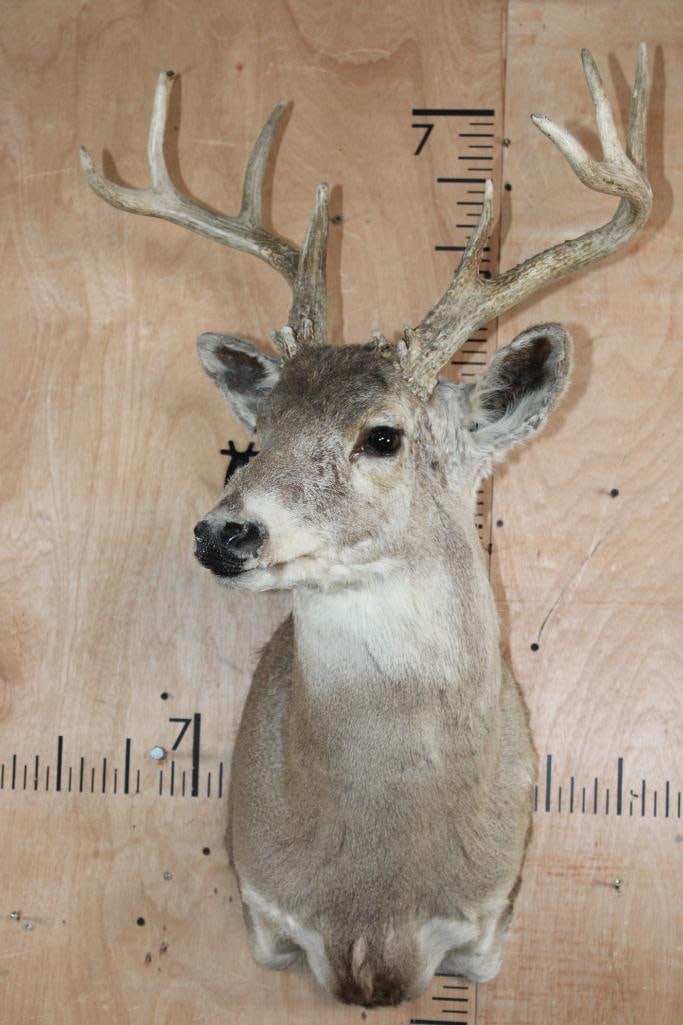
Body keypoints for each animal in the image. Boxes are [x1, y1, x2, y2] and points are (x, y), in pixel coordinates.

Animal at [80, 46, 651, 1008]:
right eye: (258, 435)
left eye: (382, 434)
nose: (222, 534)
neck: (374, 897)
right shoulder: (266, 912)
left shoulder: (485, 922)